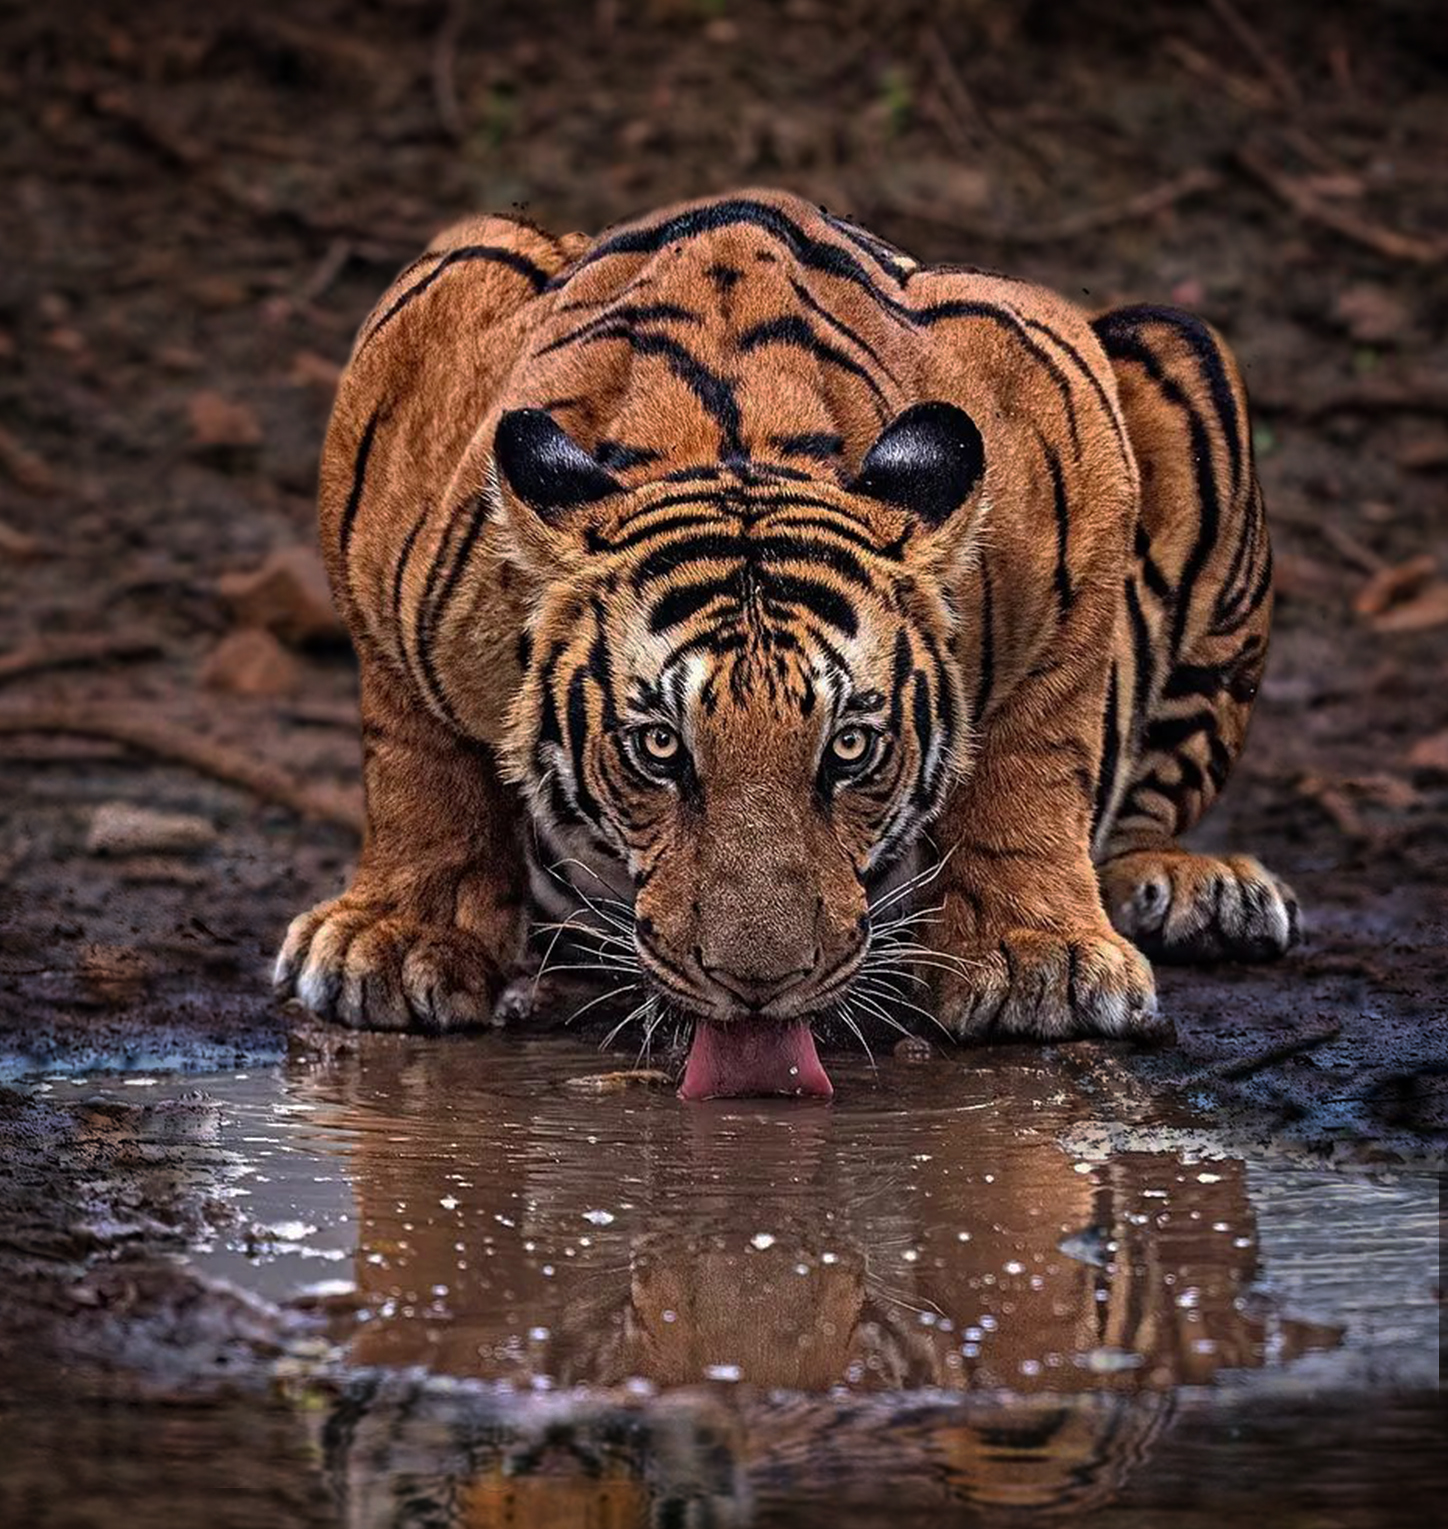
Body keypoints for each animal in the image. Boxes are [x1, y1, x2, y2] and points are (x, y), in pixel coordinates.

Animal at [275, 191, 1302, 1094]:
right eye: (660, 748)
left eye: (850, 747)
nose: (758, 987)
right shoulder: (420, 345)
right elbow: (415, 754)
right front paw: (400, 939)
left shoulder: (1068, 434)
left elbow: (1038, 748)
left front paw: (1038, 958)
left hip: (1180, 354)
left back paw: (1196, 888)